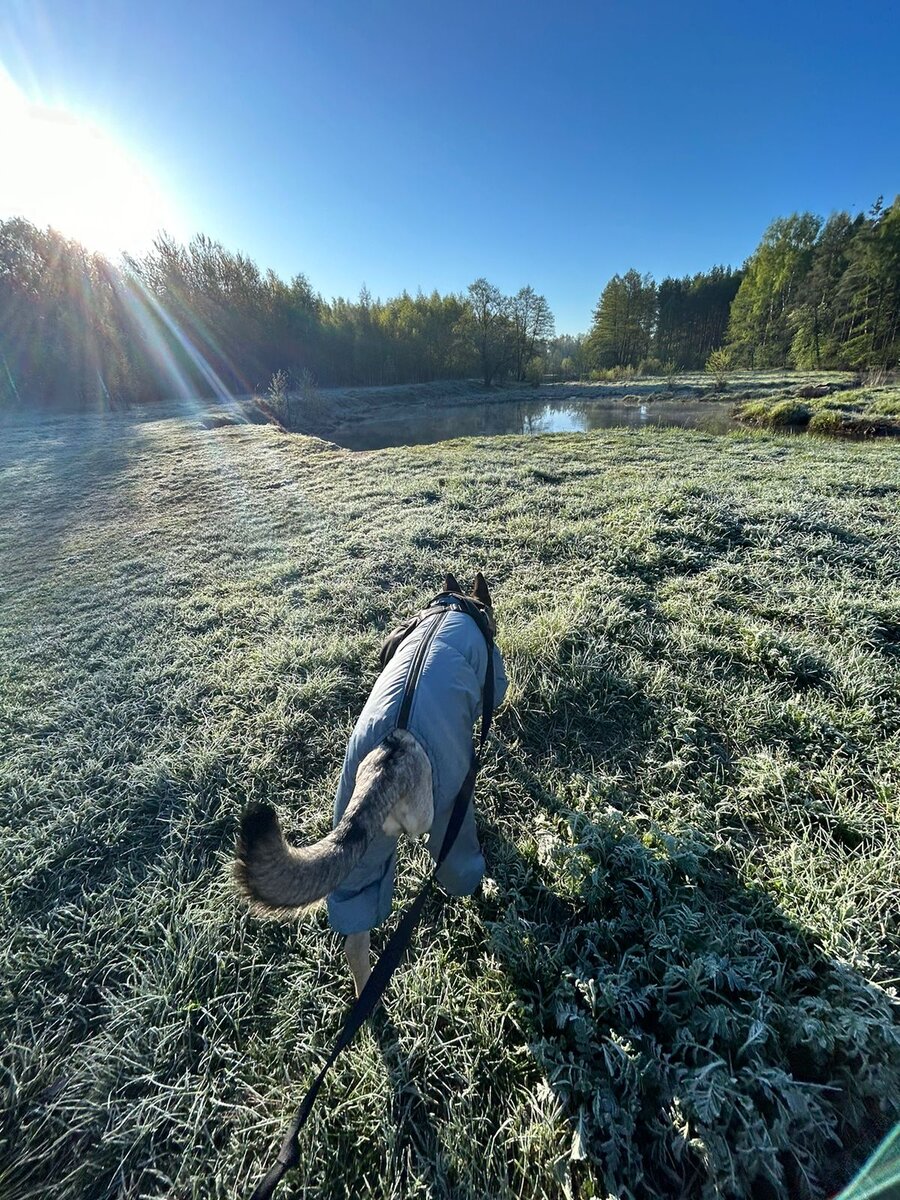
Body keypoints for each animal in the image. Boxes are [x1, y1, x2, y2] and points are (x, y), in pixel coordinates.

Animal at [234, 571, 508, 993]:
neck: (453, 607)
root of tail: (386, 763)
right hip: (446, 821)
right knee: (456, 860)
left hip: (359, 857)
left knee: (355, 938)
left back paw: (372, 998)